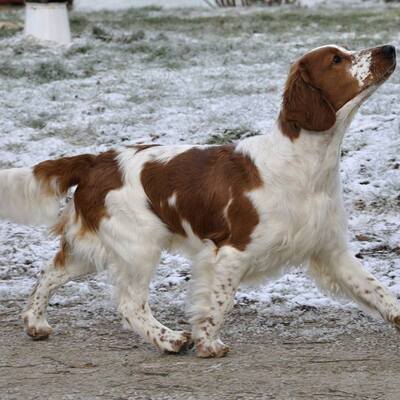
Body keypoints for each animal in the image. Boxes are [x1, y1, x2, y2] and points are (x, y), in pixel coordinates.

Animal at [0, 44, 398, 358]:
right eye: (337, 59)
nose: (389, 49)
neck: (305, 164)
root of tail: (97, 160)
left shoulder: (331, 251)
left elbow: (378, 291)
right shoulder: (231, 251)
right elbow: (219, 302)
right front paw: (208, 343)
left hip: (98, 246)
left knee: (50, 272)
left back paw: (35, 322)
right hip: (139, 245)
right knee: (129, 304)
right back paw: (169, 339)